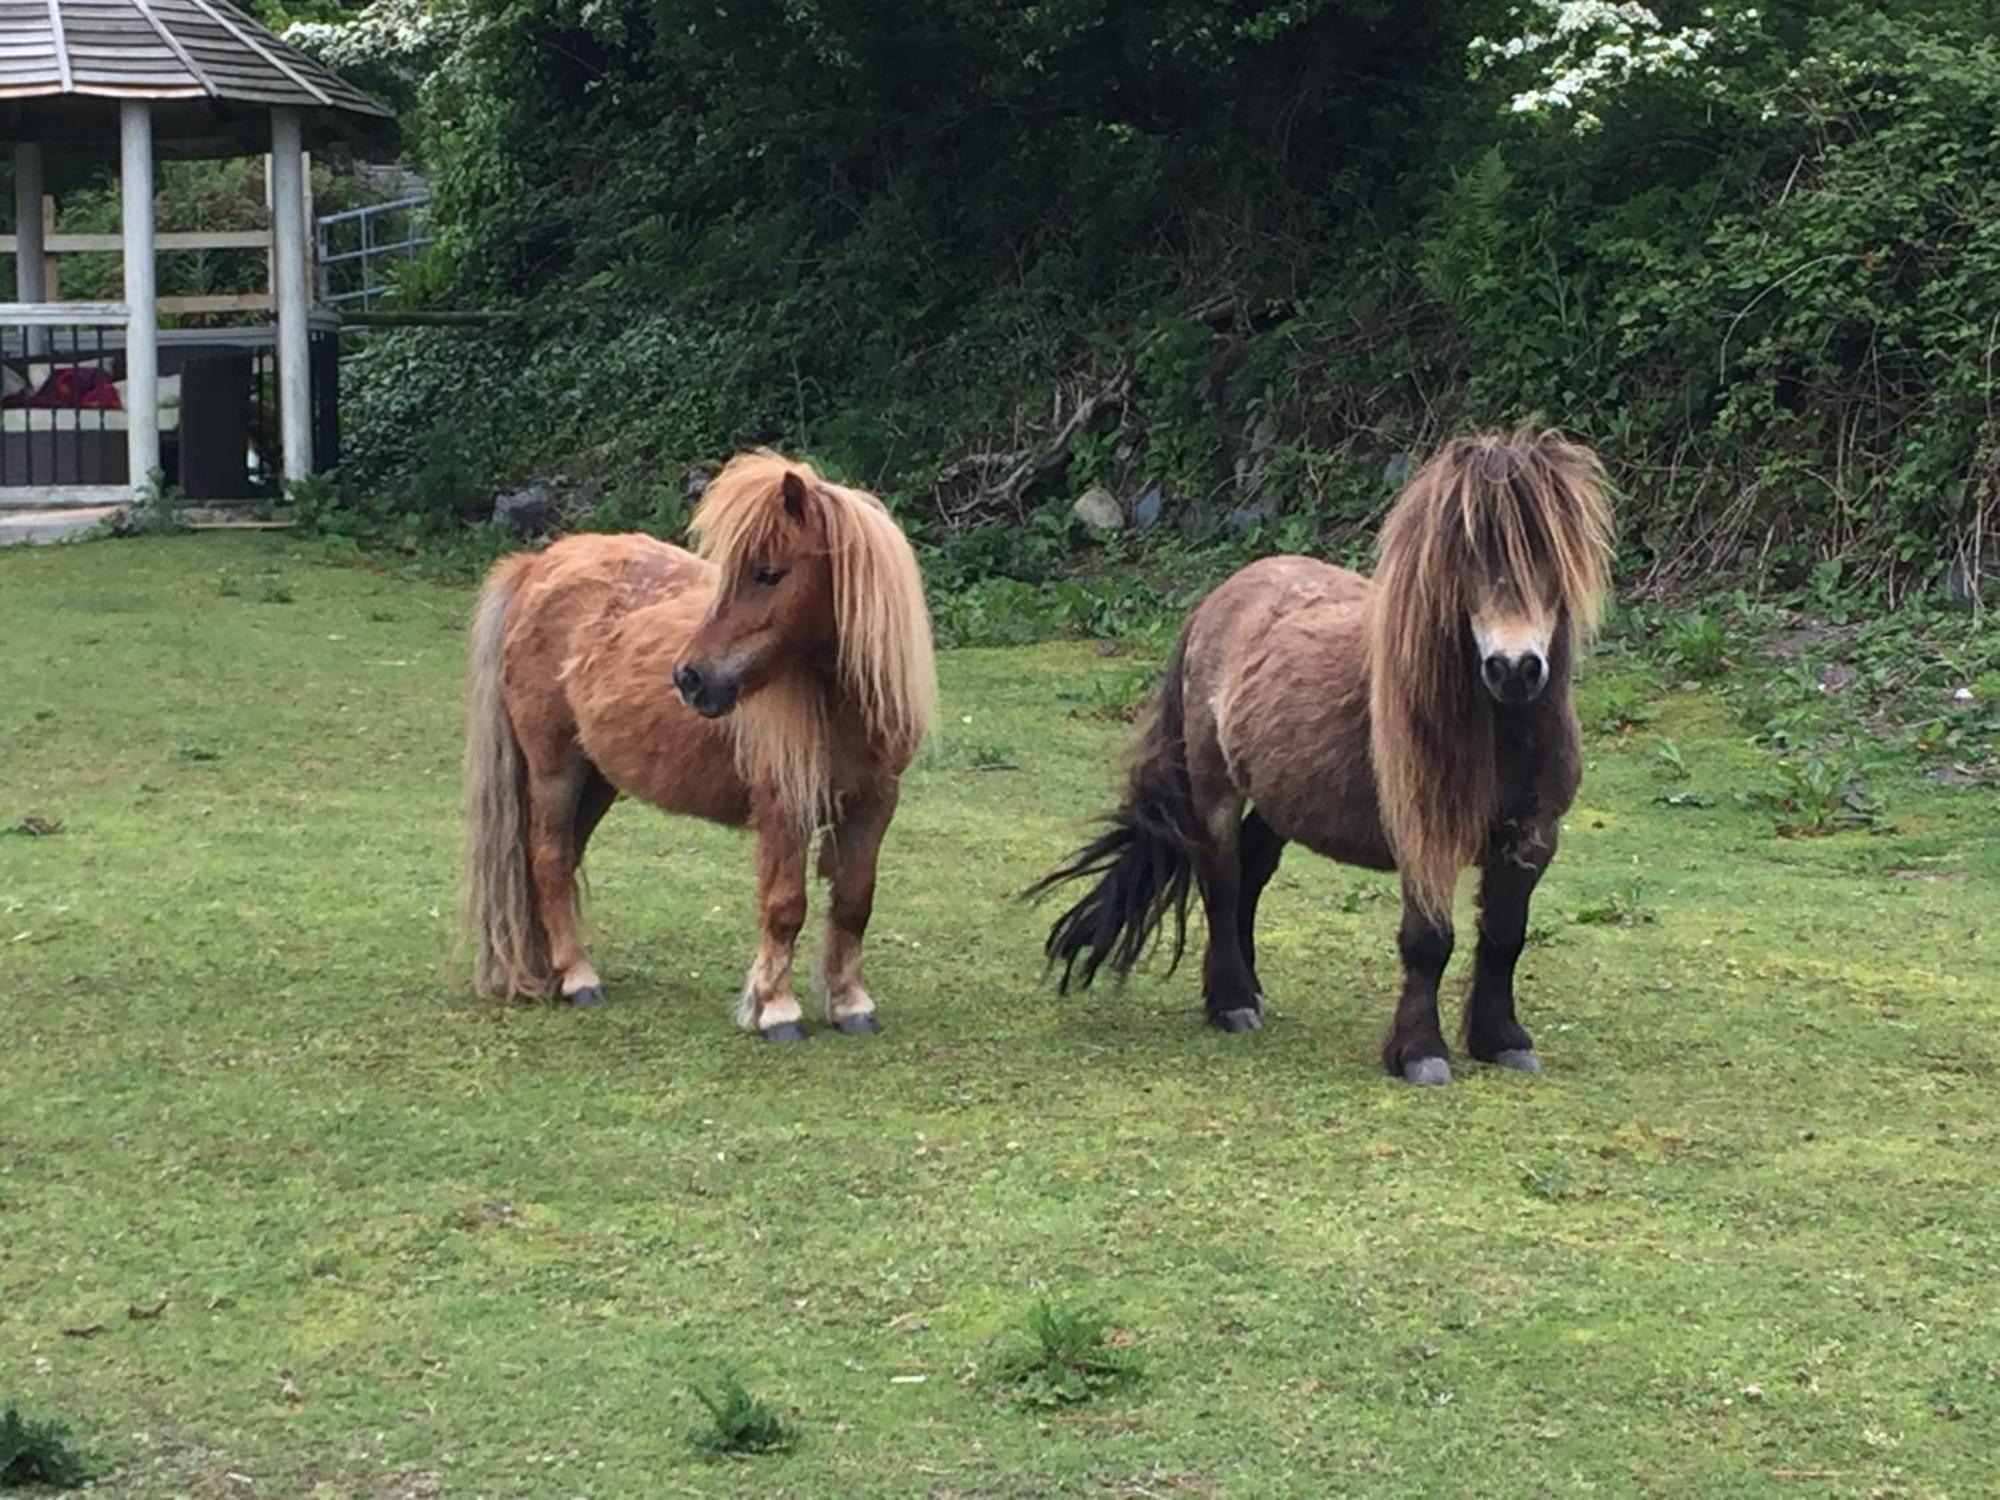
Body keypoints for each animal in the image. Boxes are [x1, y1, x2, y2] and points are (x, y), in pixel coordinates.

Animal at [462, 456, 936, 1048]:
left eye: (769, 573)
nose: (690, 679)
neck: (838, 706)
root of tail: (536, 566)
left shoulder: (875, 803)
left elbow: (853, 902)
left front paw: (851, 1004)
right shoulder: (785, 808)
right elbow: (785, 906)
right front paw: (776, 1009)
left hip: (598, 780)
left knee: (563, 859)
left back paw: (550, 970)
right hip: (555, 770)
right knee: (547, 860)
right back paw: (578, 978)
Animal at [1032, 428, 1608, 1088]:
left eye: (1552, 554)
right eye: (1465, 555)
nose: (1514, 669)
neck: (1502, 733)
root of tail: (1218, 599)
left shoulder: (1533, 836)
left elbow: (1505, 937)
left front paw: (1503, 1041)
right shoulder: (1422, 835)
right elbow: (1428, 942)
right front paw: (1420, 1053)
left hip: (1282, 795)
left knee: (1251, 869)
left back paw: (1252, 990)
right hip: (1213, 788)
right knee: (1221, 880)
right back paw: (1231, 1002)